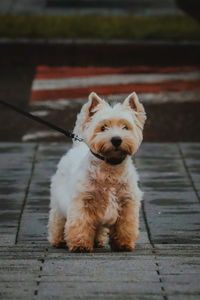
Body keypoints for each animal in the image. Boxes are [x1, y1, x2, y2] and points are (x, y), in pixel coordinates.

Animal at [47, 91, 146, 251]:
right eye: (103, 127)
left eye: (125, 127)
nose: (116, 140)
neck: (111, 166)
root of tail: (77, 147)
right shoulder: (83, 201)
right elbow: (80, 223)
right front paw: (80, 245)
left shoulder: (127, 203)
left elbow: (125, 226)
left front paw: (123, 244)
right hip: (58, 203)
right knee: (57, 221)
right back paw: (58, 240)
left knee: (98, 228)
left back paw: (98, 242)